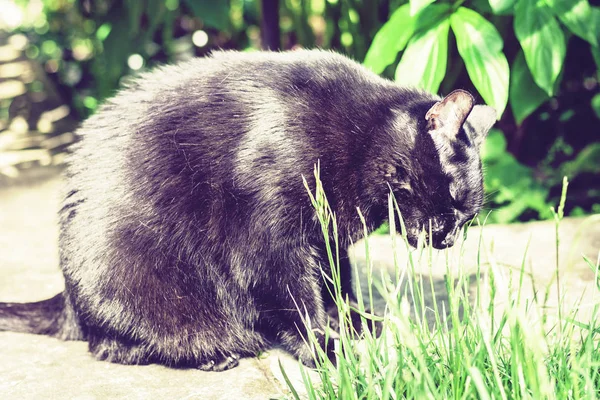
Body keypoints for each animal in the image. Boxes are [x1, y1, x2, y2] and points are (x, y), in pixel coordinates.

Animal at [0, 50, 494, 372]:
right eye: (453, 198)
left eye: (469, 217)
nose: (450, 238)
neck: (361, 142)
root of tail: (66, 296)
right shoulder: (269, 243)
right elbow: (299, 302)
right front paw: (325, 350)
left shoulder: (324, 237)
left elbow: (336, 283)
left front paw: (351, 322)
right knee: (115, 344)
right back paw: (217, 353)